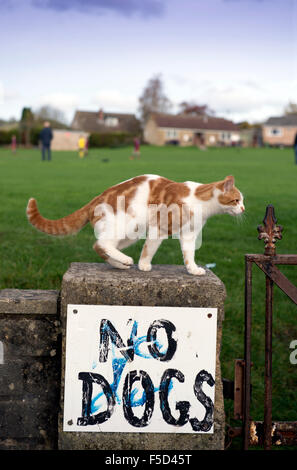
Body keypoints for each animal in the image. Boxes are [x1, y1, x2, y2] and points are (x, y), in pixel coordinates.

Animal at [26, 173, 243, 276]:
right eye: (236, 200)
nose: (243, 209)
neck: (201, 202)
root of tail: (96, 198)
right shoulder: (159, 228)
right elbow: (149, 249)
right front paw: (144, 265)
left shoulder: (189, 235)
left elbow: (189, 256)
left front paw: (193, 270)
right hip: (129, 223)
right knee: (101, 244)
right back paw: (126, 260)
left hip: (130, 234)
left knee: (101, 247)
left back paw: (119, 264)